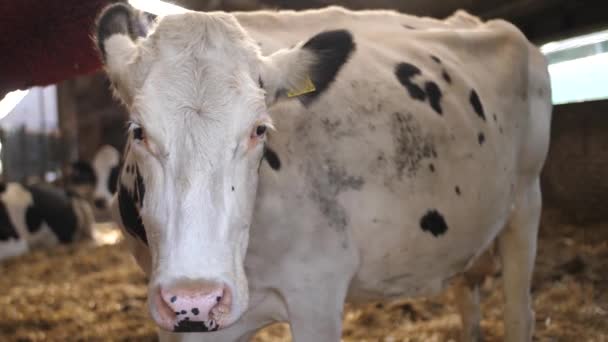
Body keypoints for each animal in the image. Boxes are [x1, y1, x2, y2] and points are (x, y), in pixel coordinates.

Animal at [95, 3, 552, 342]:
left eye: (259, 129)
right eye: (138, 131)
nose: (197, 299)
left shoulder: (317, 292)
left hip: (526, 201)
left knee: (520, 314)